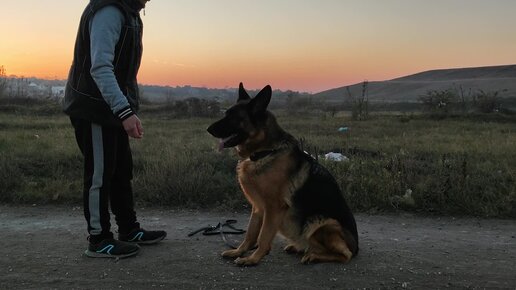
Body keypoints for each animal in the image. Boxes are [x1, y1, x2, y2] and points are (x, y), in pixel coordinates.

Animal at [207, 82, 358, 266]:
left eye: (234, 117)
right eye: (226, 114)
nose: (208, 129)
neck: (264, 152)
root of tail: (356, 247)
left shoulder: (273, 207)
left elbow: (263, 236)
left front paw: (253, 258)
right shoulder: (258, 208)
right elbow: (250, 234)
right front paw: (239, 251)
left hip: (322, 223)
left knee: (345, 255)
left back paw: (313, 255)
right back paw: (300, 248)